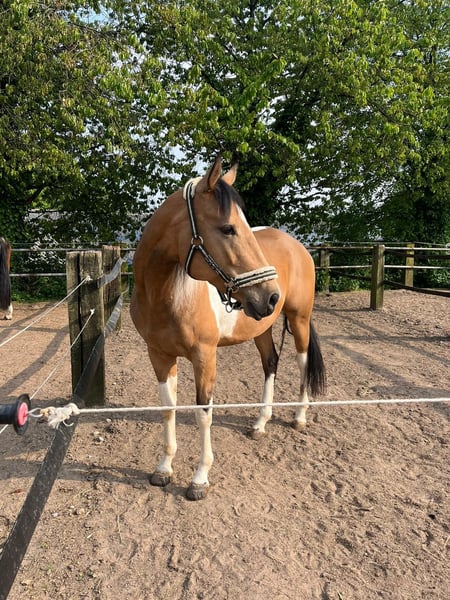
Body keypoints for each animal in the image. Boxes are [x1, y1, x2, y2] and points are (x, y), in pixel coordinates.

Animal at [131, 156, 325, 500]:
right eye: (227, 228)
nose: (271, 295)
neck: (167, 295)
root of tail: (297, 246)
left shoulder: (204, 357)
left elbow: (202, 413)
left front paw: (199, 479)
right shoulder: (159, 355)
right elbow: (168, 408)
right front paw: (164, 468)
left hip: (299, 319)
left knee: (302, 363)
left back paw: (299, 417)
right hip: (261, 326)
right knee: (270, 363)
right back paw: (261, 423)